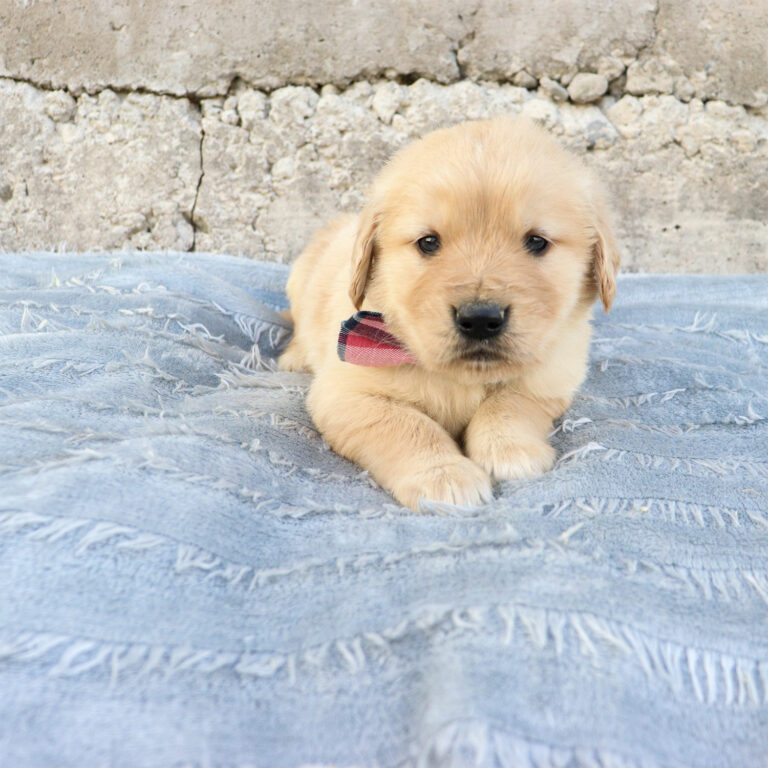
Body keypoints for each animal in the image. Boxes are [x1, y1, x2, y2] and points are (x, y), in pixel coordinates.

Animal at [280, 117, 620, 512]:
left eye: (537, 242)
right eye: (428, 242)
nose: (480, 319)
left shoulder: (552, 376)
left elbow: (510, 403)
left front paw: (511, 450)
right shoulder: (345, 393)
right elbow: (404, 424)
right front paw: (443, 476)